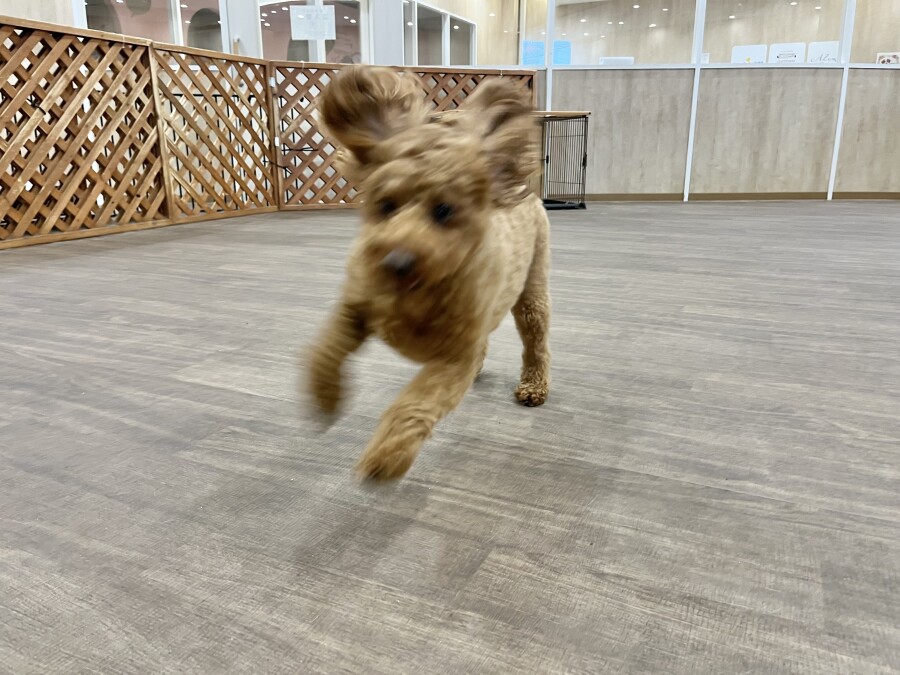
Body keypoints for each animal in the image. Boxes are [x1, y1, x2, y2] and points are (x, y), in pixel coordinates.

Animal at [305, 66, 551, 480]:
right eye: (386, 205)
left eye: (444, 210)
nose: (396, 261)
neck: (415, 290)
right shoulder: (357, 303)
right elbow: (325, 347)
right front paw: (325, 393)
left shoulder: (454, 358)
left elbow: (416, 403)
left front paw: (388, 454)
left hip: (532, 292)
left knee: (536, 342)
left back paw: (534, 387)